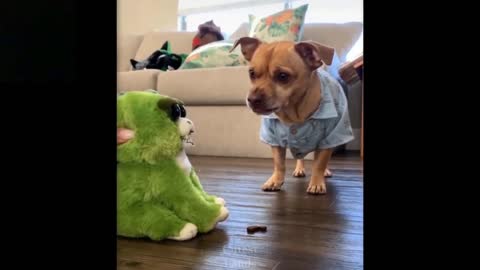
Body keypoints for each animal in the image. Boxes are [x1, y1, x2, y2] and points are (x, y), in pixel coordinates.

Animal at [231, 37, 354, 194]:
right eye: (251, 73)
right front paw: (275, 181)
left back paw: (324, 172)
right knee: (300, 157)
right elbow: (279, 163)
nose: (252, 99)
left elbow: (319, 163)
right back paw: (299, 169)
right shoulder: (274, 140)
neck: (293, 113)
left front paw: (316, 182)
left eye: (283, 76)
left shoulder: (329, 138)